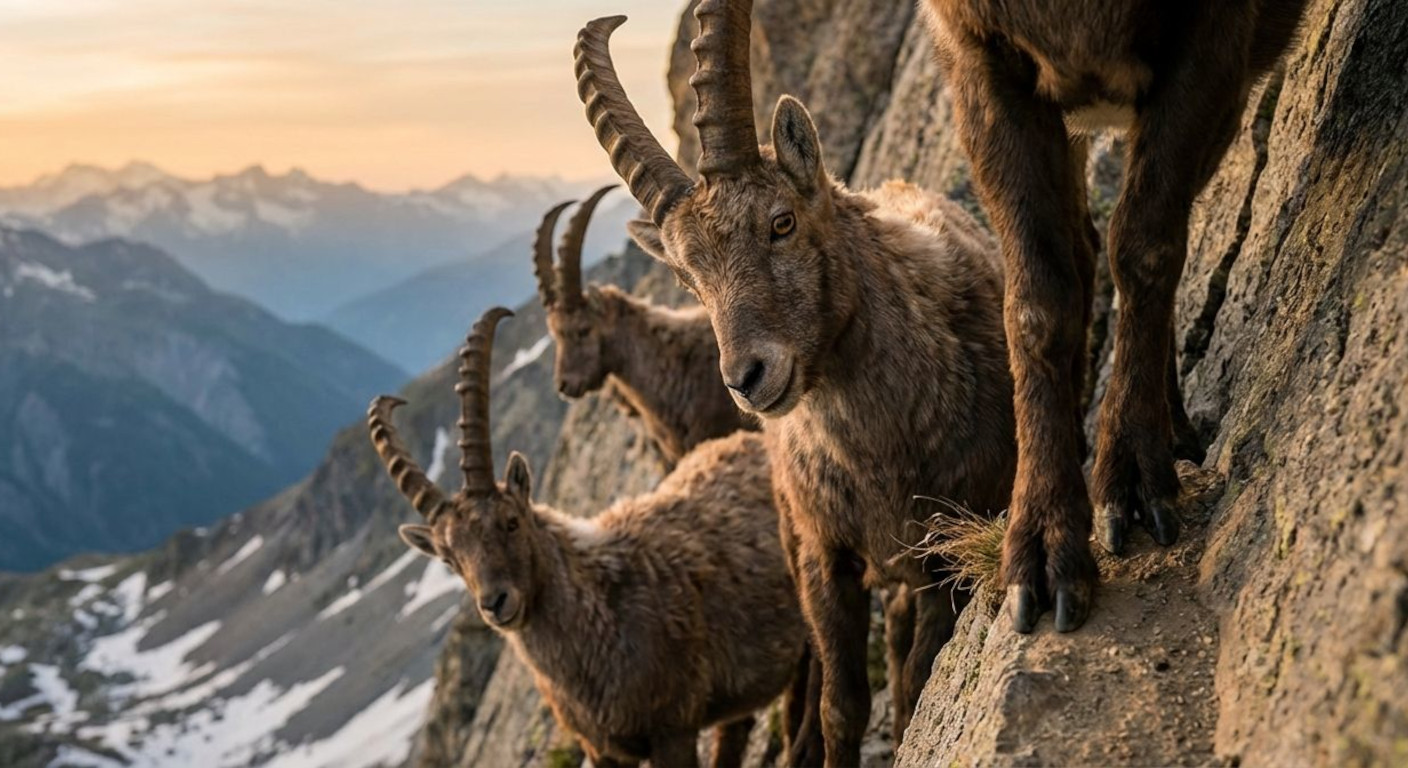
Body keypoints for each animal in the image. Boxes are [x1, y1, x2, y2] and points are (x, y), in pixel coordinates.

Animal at [368, 307, 813, 768]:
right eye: (449, 559)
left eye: (511, 521)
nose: (495, 603)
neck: (599, 615)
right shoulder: (600, 749)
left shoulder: (673, 728)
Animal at [573, 3, 1016, 763]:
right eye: (687, 277)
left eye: (780, 222)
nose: (748, 378)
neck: (881, 448)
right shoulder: (821, 555)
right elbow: (842, 705)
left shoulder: (948, 546)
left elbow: (919, 677)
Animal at [922, 0, 1309, 633]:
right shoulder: (982, 62)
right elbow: (1038, 301)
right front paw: (1043, 555)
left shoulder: (1213, 43)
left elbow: (1144, 246)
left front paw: (1130, 482)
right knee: (1081, 248)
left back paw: (1167, 432)